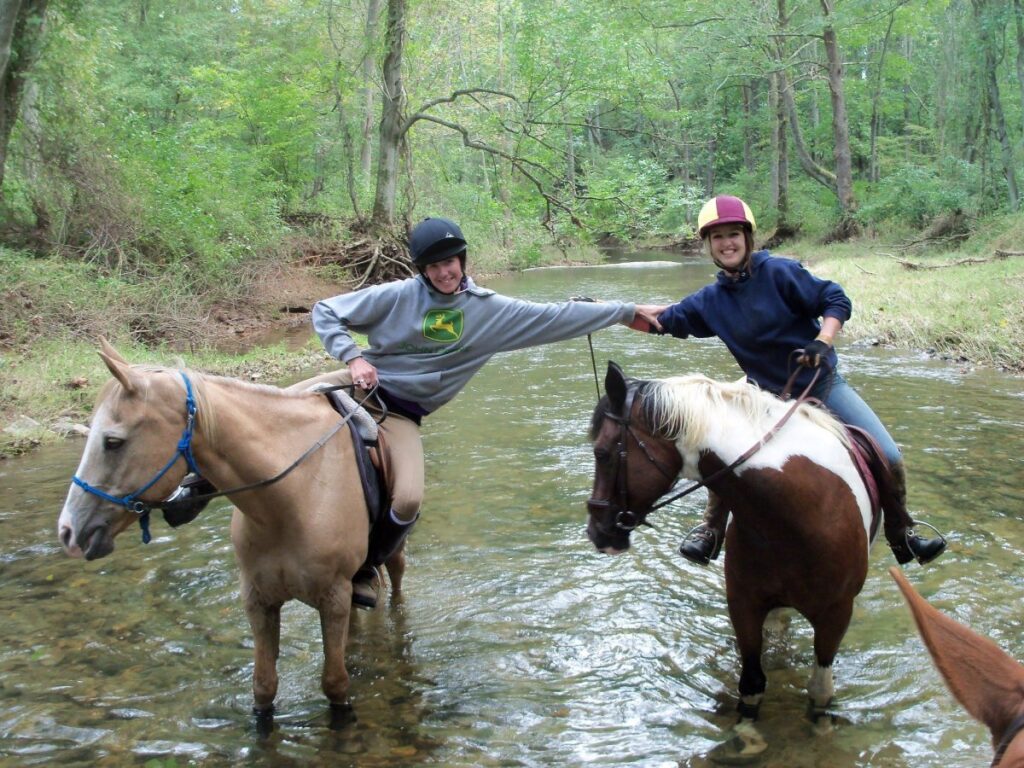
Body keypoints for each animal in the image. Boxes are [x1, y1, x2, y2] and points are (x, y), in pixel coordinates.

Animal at [54, 342, 401, 720]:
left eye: (113, 441)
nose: (68, 531)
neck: (293, 496)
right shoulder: (258, 600)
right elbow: (264, 686)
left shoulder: (333, 598)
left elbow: (336, 683)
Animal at [585, 364, 872, 749]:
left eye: (602, 453)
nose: (597, 533)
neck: (795, 514)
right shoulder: (744, 602)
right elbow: (751, 681)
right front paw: (747, 736)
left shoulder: (837, 613)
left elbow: (820, 690)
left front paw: (821, 731)